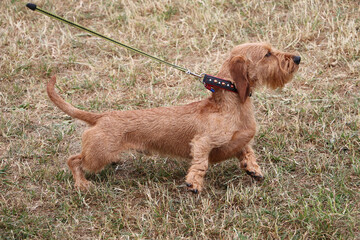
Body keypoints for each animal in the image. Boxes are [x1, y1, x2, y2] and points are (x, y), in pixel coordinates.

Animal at [47, 42, 300, 192]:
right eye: (267, 54)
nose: (297, 58)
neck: (231, 104)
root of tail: (102, 116)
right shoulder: (203, 142)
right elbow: (201, 163)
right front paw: (194, 183)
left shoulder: (242, 141)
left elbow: (247, 153)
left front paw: (253, 170)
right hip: (97, 156)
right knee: (74, 160)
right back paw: (82, 184)